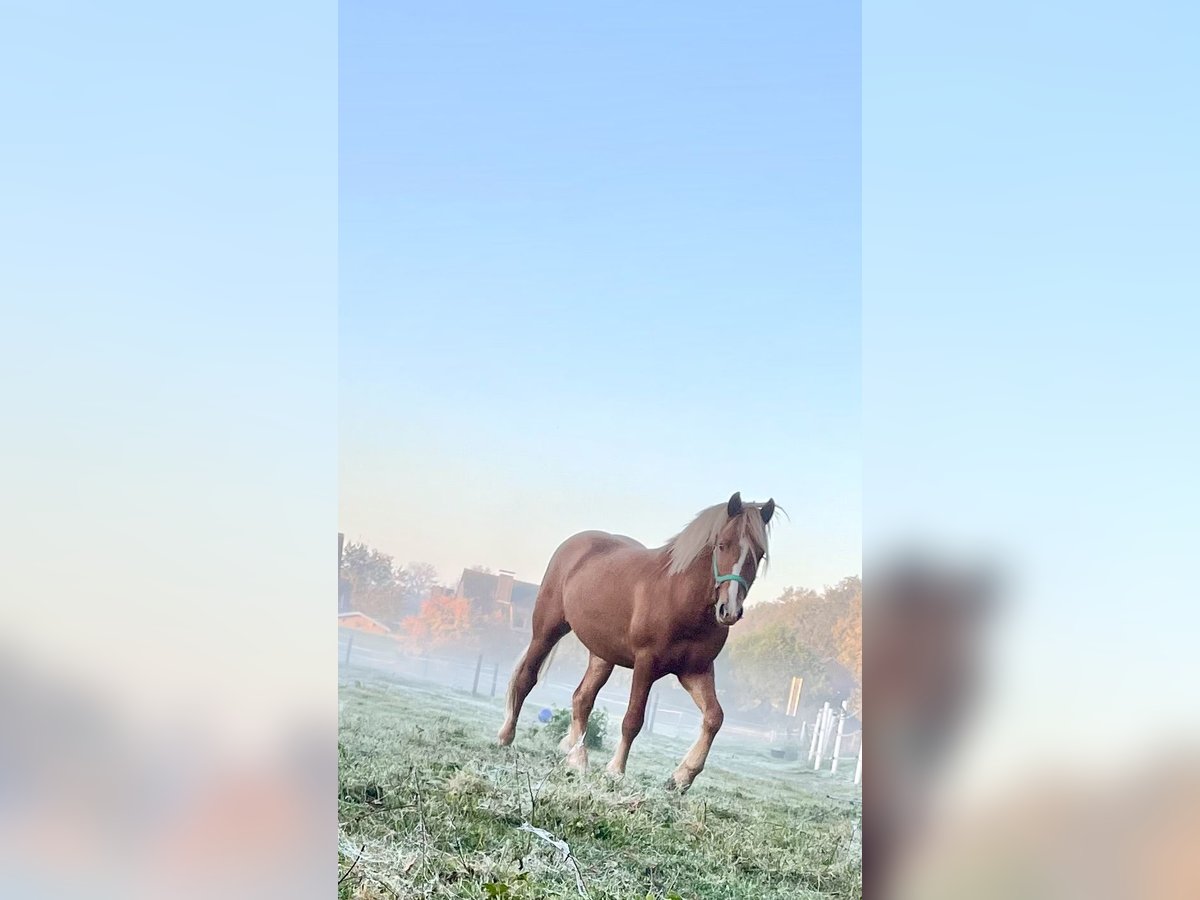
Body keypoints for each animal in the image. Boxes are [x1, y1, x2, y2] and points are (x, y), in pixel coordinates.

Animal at [499, 489, 772, 792]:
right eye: (722, 545)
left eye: (759, 554)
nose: (729, 610)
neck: (678, 597)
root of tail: (573, 546)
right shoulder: (645, 663)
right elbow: (633, 719)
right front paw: (616, 770)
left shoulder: (695, 671)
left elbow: (714, 718)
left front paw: (682, 777)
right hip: (546, 632)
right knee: (526, 679)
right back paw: (506, 737)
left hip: (602, 655)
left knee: (582, 699)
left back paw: (578, 759)